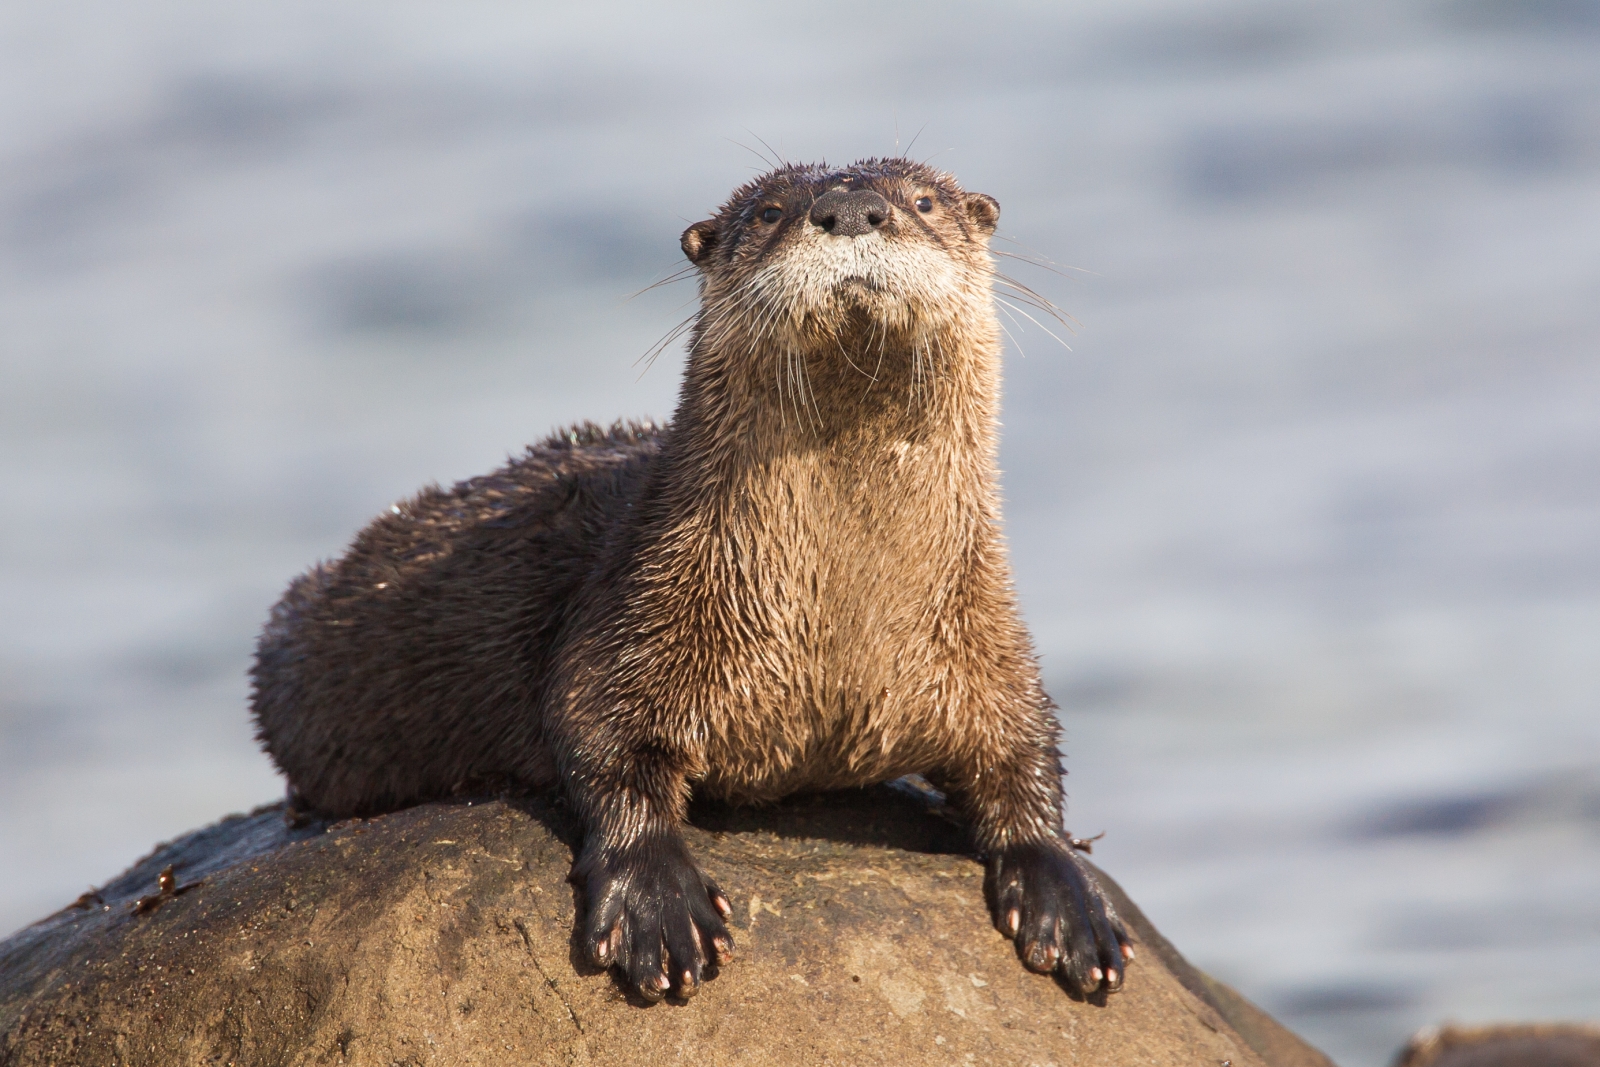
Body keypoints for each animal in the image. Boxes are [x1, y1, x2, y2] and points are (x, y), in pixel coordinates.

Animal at [252, 157, 1133, 1002]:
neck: (839, 631)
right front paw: (657, 903)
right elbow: (600, 738)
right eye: (770, 211)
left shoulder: (983, 636)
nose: (852, 207)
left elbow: (1028, 750)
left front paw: (1068, 892)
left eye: (922, 199)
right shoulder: (640, 608)